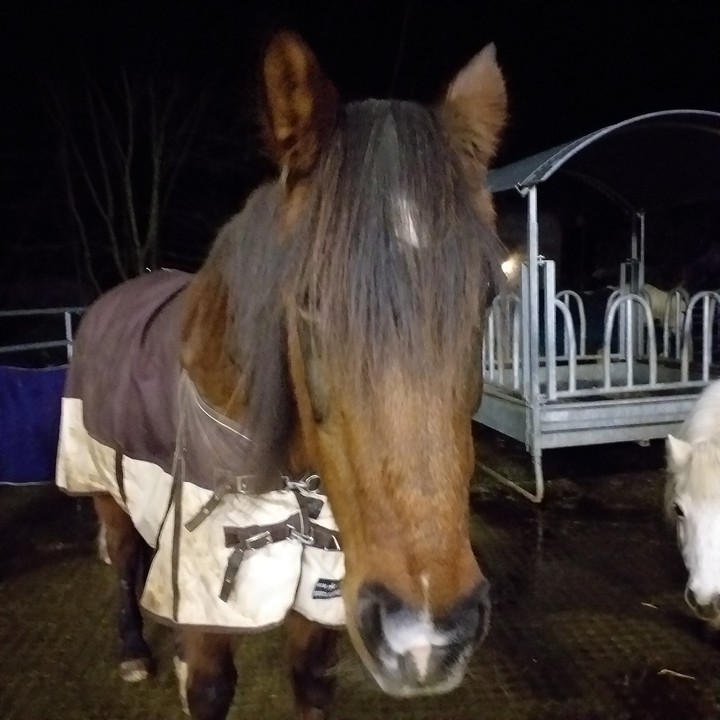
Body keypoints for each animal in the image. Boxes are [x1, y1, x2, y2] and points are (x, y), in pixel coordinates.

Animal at [55, 31, 508, 719]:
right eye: (309, 302)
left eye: (485, 296)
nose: (429, 636)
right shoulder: (208, 612)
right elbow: (208, 682)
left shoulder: (325, 604)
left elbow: (310, 679)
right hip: (103, 488)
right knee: (126, 561)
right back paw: (133, 649)